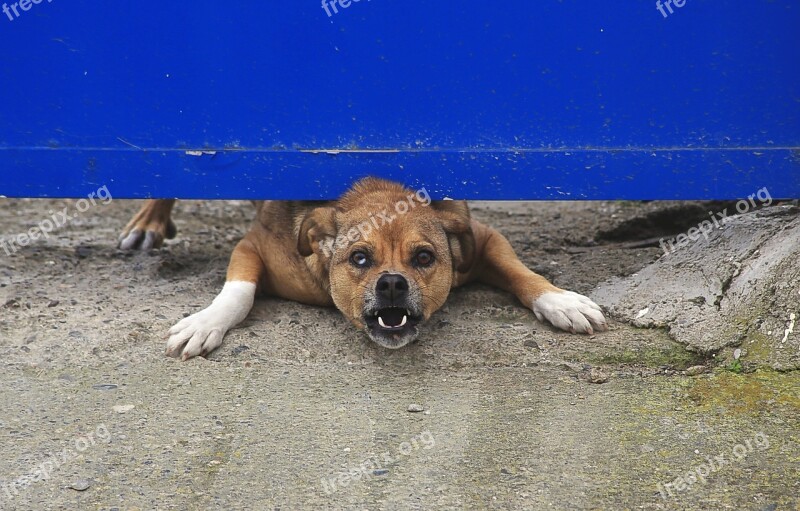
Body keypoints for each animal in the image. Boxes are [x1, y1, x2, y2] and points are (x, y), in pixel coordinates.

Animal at [153, 178, 608, 362]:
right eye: (359, 258)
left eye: (424, 257)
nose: (391, 284)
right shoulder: (254, 245)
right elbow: (239, 291)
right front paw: (206, 322)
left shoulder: (483, 238)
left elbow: (521, 272)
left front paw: (560, 302)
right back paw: (149, 224)